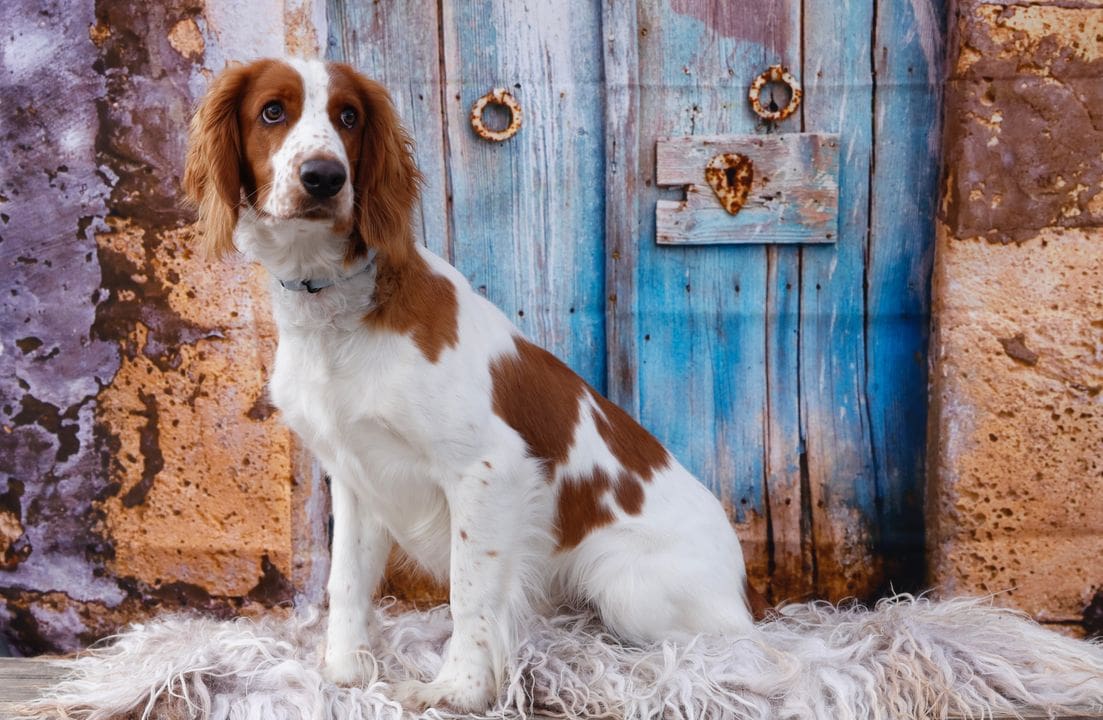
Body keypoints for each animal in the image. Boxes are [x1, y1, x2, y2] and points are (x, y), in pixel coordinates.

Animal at [183, 58, 767, 710]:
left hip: (627, 586)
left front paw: (455, 690)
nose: (324, 177)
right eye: (272, 112)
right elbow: (347, 581)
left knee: (734, 648)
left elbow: (470, 593)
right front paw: (344, 671)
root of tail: (744, 585)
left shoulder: (487, 470)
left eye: (349, 116)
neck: (336, 312)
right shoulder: (355, 476)